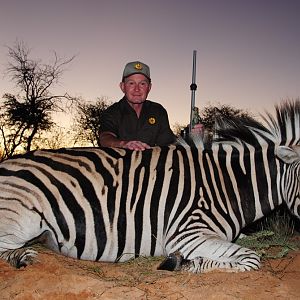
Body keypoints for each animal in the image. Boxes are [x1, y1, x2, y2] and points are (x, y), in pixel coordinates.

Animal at [0, 99, 298, 274]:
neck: (225, 184)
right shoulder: (187, 235)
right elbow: (251, 260)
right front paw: (182, 263)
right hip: (23, 220)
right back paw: (22, 257)